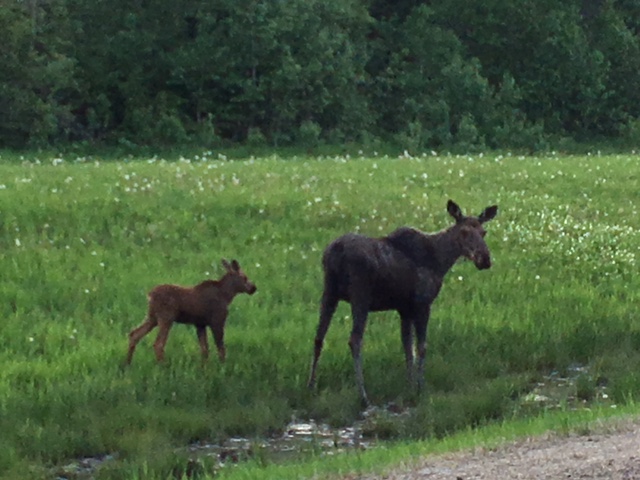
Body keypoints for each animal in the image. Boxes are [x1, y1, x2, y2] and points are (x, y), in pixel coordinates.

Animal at [124, 258, 256, 364]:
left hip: (152, 317)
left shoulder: (200, 324)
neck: (227, 295)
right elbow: (221, 348)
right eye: (244, 277)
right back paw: (163, 366)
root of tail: (150, 295)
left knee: (134, 334)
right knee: (158, 344)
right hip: (166, 318)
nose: (254, 288)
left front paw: (205, 367)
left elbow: (205, 349)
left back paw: (127, 364)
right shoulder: (217, 321)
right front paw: (222, 366)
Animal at [308, 199, 498, 404]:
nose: (485, 260)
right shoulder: (423, 303)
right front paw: (420, 388)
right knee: (354, 340)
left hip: (329, 292)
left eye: (484, 232)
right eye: (464, 232)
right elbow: (421, 347)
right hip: (360, 296)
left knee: (318, 337)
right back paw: (363, 396)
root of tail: (335, 253)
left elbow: (408, 348)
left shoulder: (404, 308)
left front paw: (410, 386)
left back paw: (310, 386)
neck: (441, 261)